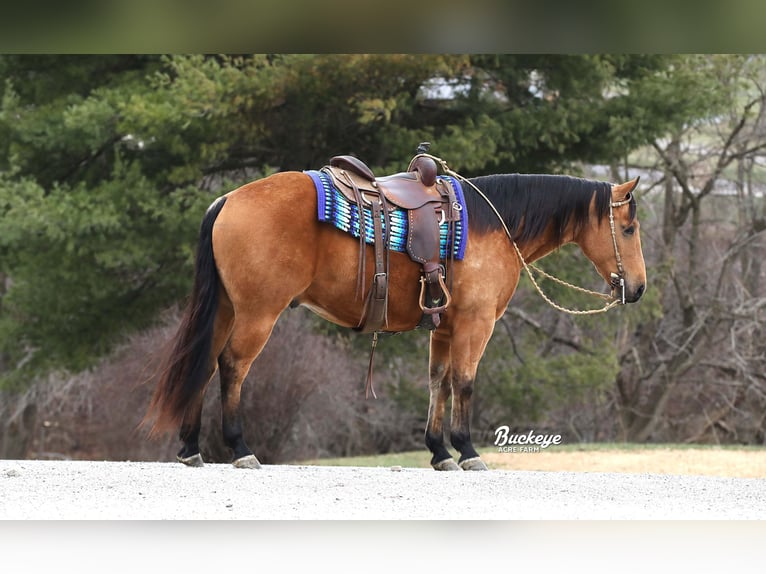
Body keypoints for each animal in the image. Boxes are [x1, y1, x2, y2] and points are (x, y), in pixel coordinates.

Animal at [146, 152, 648, 472]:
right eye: (628, 228)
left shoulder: (444, 328)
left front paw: (439, 452)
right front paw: (467, 451)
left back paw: (190, 447)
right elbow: (464, 382)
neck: (494, 227)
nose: (639, 288)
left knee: (205, 365)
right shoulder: (475, 324)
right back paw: (240, 448)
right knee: (232, 366)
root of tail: (228, 199)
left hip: (228, 310)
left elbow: (438, 382)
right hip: (257, 313)